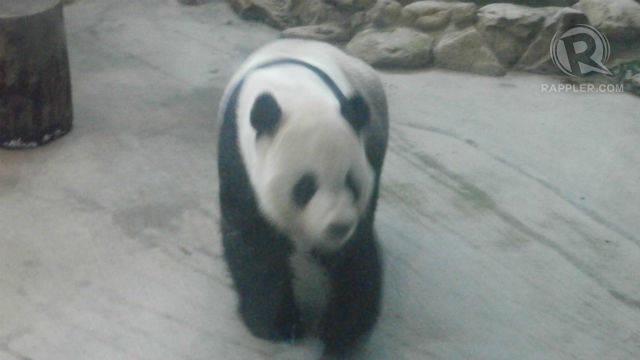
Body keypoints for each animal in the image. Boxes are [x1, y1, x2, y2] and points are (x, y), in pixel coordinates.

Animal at [218, 40, 388, 358]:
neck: (296, 92)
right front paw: (278, 325)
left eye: (351, 182)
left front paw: (340, 334)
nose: (337, 227)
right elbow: (253, 239)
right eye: (305, 187)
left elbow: (356, 255)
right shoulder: (238, 156)